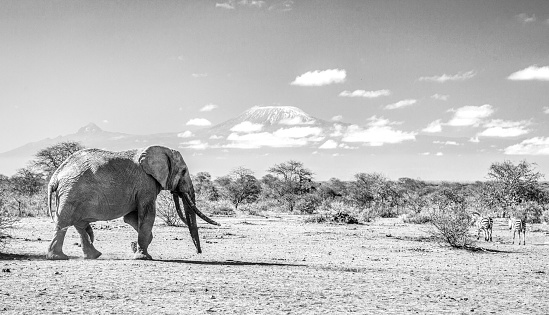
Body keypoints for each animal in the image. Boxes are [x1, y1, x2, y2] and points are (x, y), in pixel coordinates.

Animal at [46, 145, 218, 260]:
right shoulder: (145, 184)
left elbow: (130, 218)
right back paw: (58, 257)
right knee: (65, 221)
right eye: (183, 171)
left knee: (79, 224)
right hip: (71, 192)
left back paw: (93, 255)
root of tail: (55, 176)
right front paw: (143, 256)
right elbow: (148, 215)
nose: (198, 253)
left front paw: (135, 248)